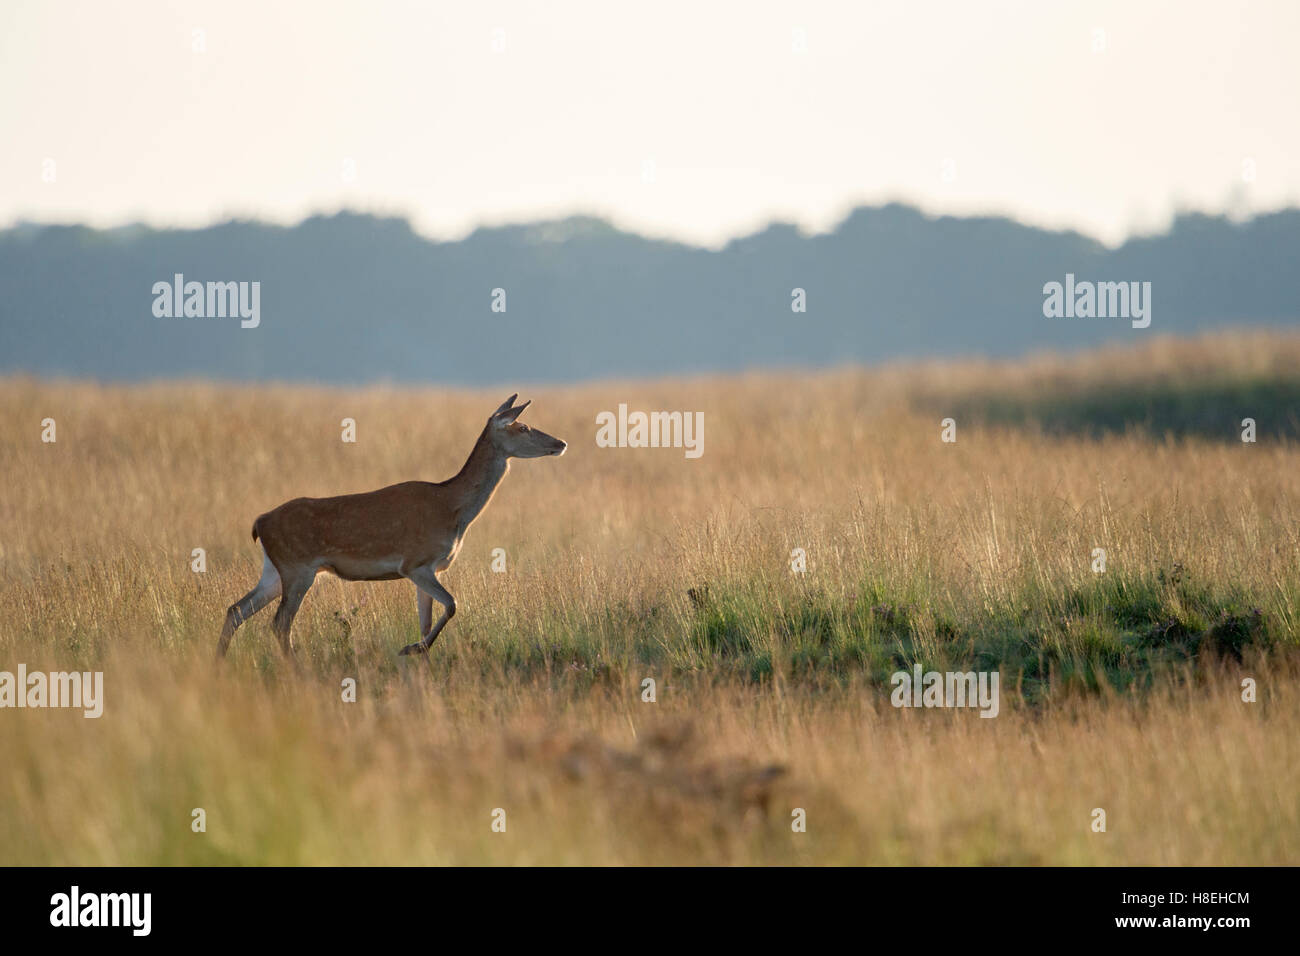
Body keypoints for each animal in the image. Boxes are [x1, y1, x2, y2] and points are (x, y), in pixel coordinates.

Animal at [215, 392, 566, 660]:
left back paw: (219, 664)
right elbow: (453, 605)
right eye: (523, 426)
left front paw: (419, 654)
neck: (452, 508)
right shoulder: (415, 563)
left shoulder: (431, 569)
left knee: (236, 610)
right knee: (279, 624)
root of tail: (259, 523)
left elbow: (428, 620)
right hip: (297, 568)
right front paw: (411, 648)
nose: (560, 442)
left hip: (274, 571)